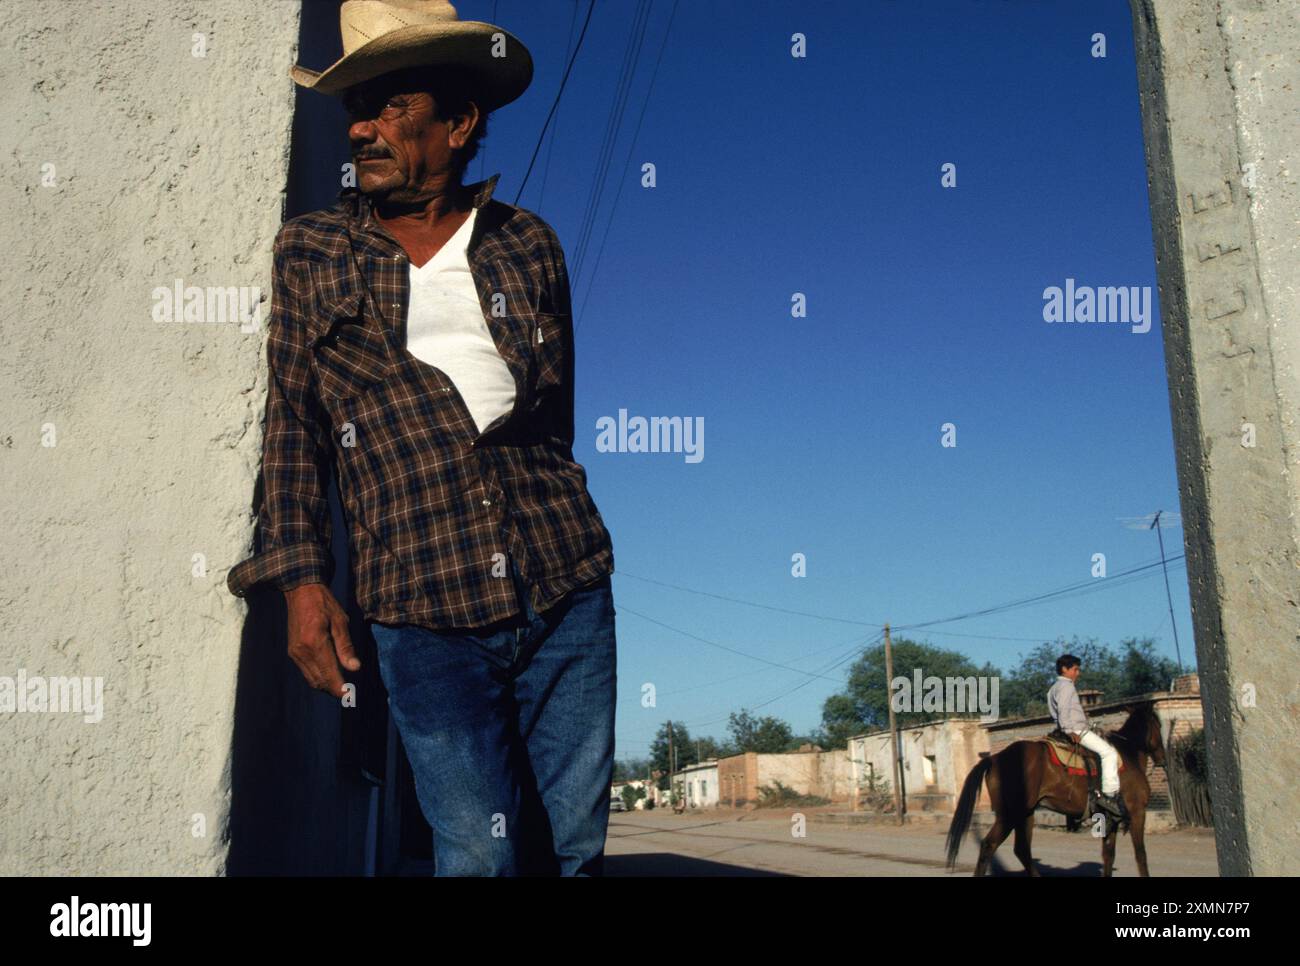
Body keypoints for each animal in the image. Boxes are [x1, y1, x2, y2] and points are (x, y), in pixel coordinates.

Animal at [946, 702, 1170, 878]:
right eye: (1158, 725)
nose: (1162, 758)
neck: (1129, 754)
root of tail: (995, 758)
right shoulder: (1137, 812)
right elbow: (1140, 854)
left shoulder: (1111, 818)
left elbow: (1109, 855)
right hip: (1010, 815)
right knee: (988, 846)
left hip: (1026, 814)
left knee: (1022, 850)